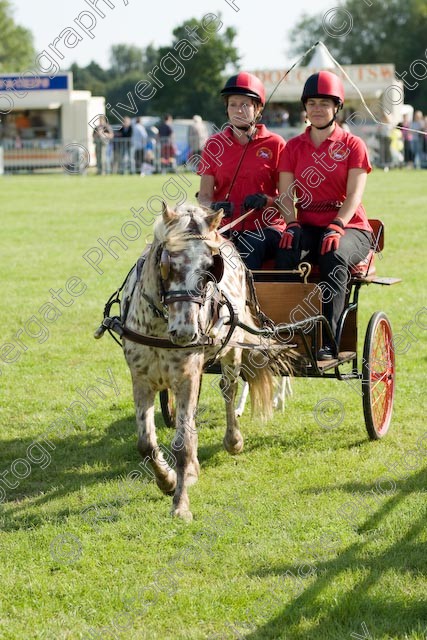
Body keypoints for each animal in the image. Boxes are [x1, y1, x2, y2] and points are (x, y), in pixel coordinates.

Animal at [121, 204, 290, 520]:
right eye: (167, 262)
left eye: (210, 267)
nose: (186, 331)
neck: (160, 329)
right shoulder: (141, 379)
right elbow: (146, 443)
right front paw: (167, 480)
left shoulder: (186, 376)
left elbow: (182, 444)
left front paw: (180, 504)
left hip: (232, 349)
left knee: (229, 390)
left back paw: (233, 440)